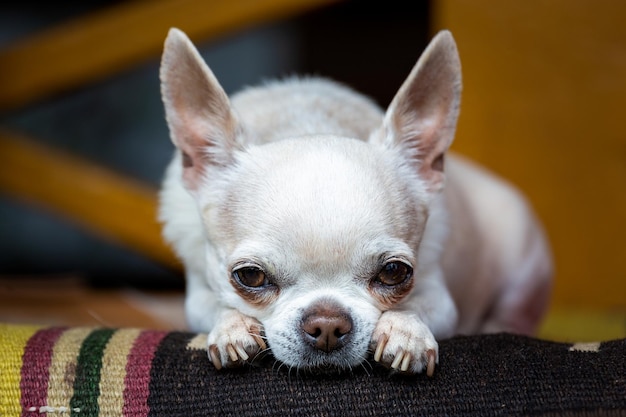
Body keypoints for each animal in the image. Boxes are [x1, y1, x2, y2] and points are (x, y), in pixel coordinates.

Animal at [157, 27, 552, 376]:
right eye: (251, 276)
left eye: (394, 272)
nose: (327, 324)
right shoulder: (197, 294)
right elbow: (216, 303)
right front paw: (232, 326)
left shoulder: (440, 297)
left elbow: (417, 305)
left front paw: (405, 330)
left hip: (523, 266)